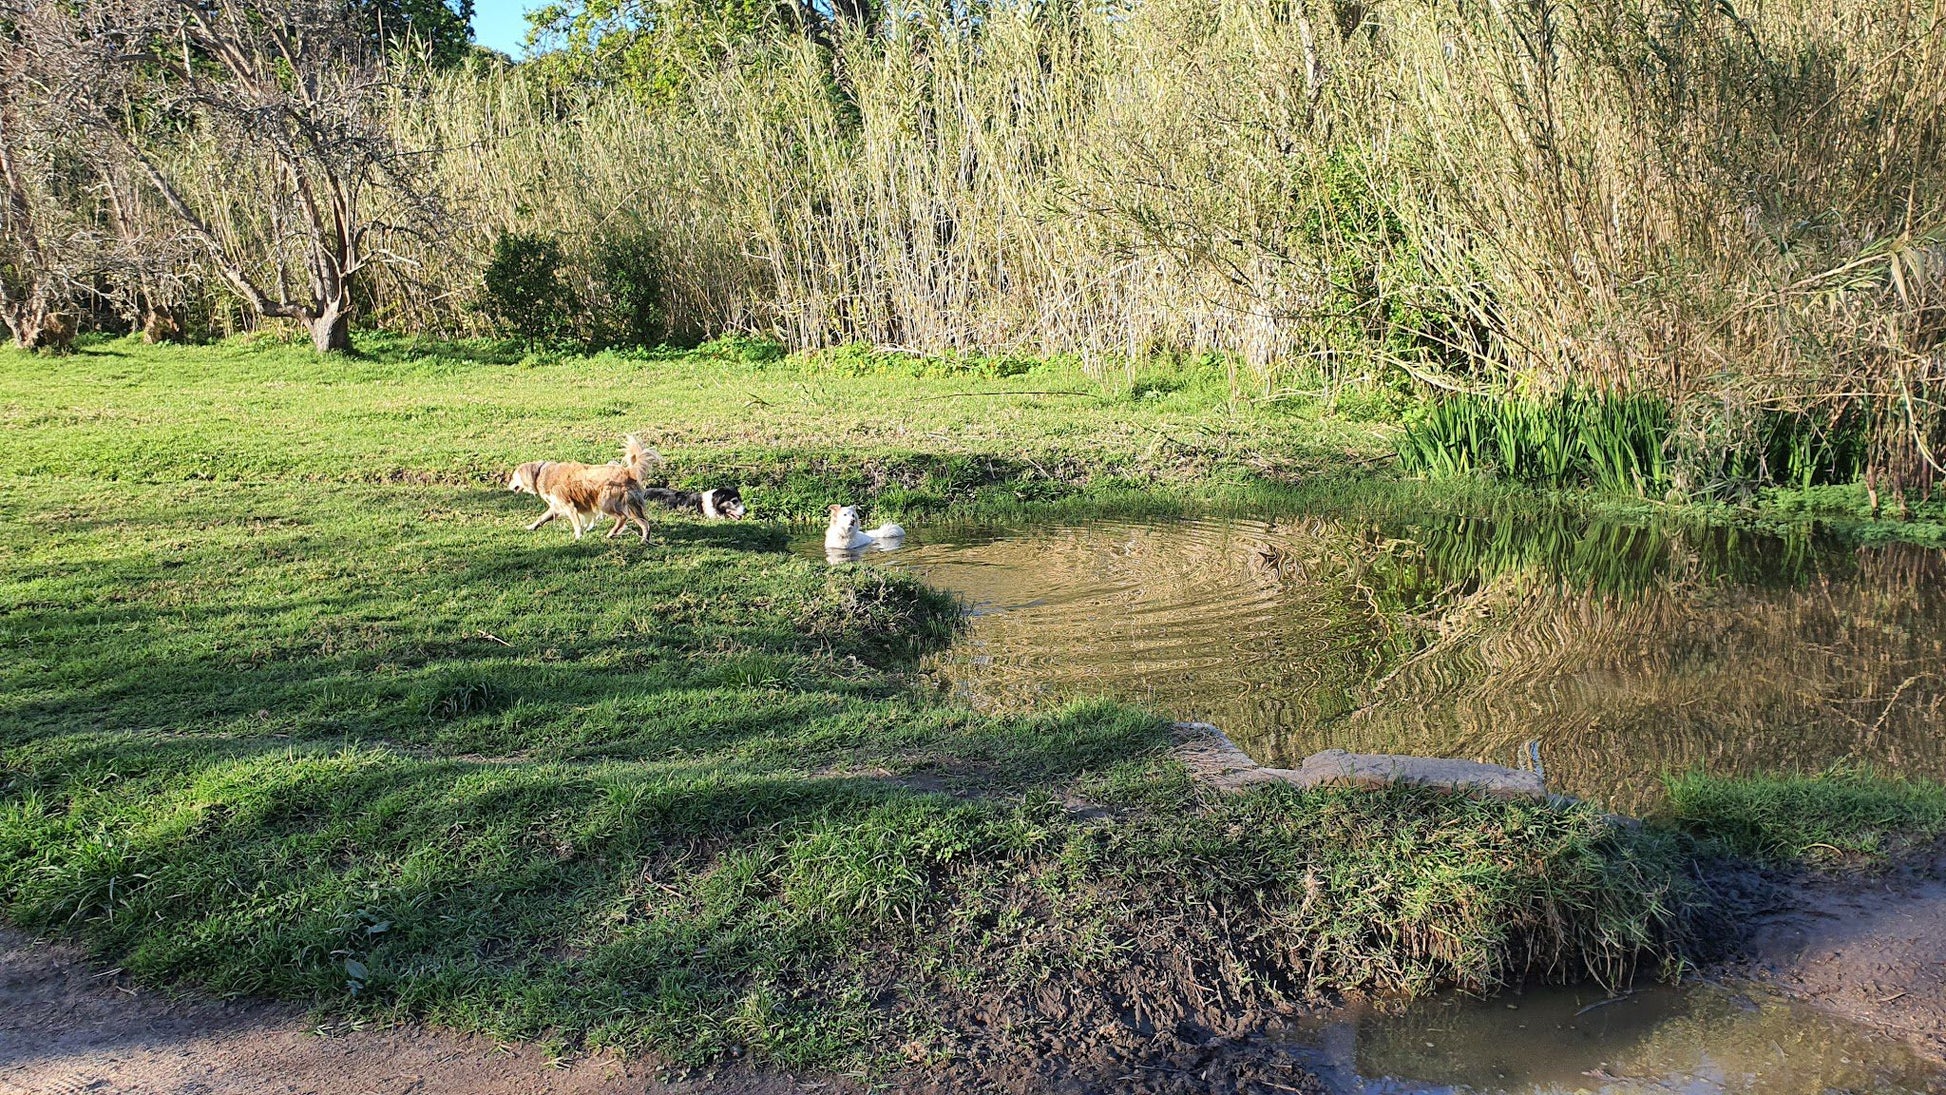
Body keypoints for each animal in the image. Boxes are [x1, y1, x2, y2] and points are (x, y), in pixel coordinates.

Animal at [509, 435, 661, 540]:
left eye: (513, 476)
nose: (508, 485)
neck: (540, 473)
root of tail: (628, 471)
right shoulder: (556, 506)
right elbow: (541, 518)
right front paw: (530, 527)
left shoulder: (568, 505)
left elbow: (576, 523)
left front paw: (578, 537)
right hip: (631, 506)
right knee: (645, 523)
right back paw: (643, 540)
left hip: (606, 502)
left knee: (622, 518)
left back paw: (612, 533)